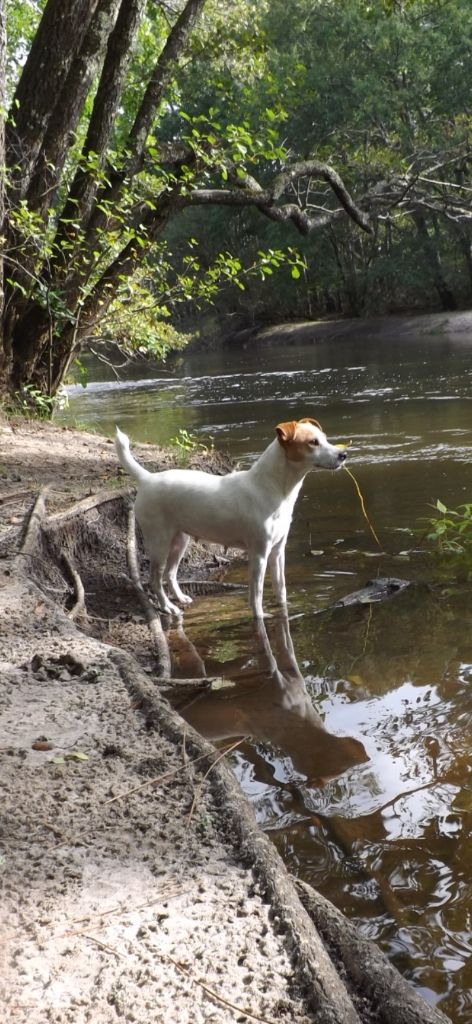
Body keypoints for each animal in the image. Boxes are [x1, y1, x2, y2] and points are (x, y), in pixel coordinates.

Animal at [114, 415, 346, 614]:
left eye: (325, 438)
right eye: (313, 442)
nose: (343, 455)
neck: (274, 488)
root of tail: (147, 479)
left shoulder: (278, 551)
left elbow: (281, 588)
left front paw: (283, 608)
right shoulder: (259, 555)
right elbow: (256, 596)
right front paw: (260, 616)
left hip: (180, 540)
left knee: (170, 574)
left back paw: (180, 598)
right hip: (159, 542)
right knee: (155, 579)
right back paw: (168, 607)